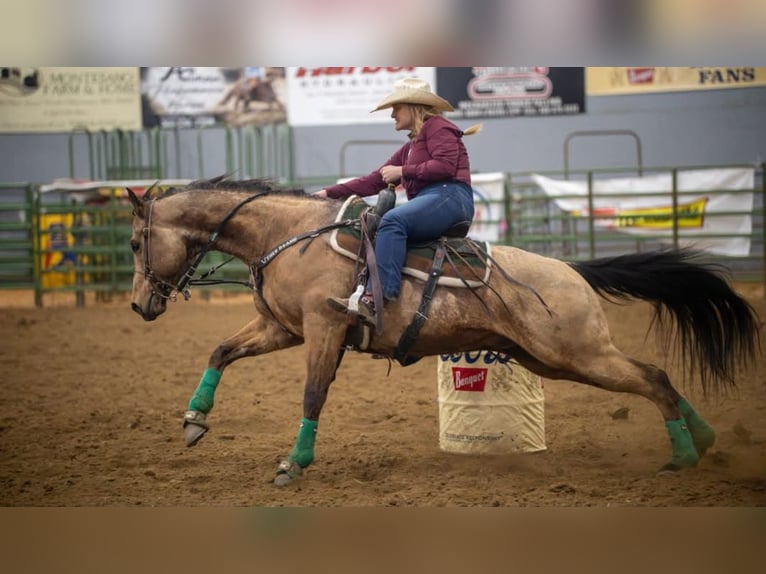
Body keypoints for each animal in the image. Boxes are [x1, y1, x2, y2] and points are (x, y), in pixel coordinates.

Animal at [127, 177, 761, 486]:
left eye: (135, 242)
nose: (138, 305)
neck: (289, 235)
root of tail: (571, 270)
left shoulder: (324, 330)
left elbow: (312, 396)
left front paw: (292, 464)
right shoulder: (282, 328)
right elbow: (221, 350)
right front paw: (194, 420)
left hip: (575, 353)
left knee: (651, 376)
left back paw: (685, 455)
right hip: (550, 358)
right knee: (657, 376)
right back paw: (703, 441)